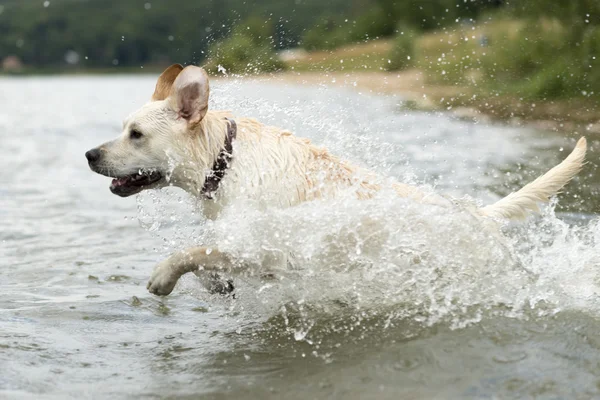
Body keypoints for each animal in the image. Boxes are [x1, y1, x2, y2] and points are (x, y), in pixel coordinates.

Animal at [84, 64, 584, 296]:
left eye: (136, 134)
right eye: (123, 128)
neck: (222, 162)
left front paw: (162, 277)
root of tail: (480, 214)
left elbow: (192, 250)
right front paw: (216, 284)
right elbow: (209, 256)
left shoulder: (266, 243)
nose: (90, 155)